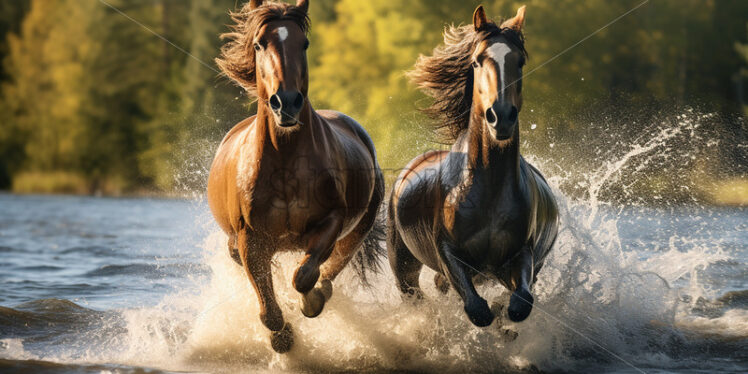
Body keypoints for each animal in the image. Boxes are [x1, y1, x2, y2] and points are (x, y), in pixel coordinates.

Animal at [207, 0, 382, 354]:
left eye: (305, 43)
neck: (286, 161)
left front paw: (309, 303)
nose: (286, 103)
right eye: (259, 44)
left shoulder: (332, 221)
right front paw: (283, 336)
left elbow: (304, 275)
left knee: (332, 268)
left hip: (358, 230)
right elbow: (268, 308)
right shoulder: (250, 240)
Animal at [388, 5, 560, 328]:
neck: (488, 189)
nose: (501, 116)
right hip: (402, 263)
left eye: (520, 61)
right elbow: (477, 310)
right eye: (478, 60)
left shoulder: (523, 254)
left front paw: (505, 321)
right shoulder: (448, 254)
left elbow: (519, 304)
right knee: (414, 293)